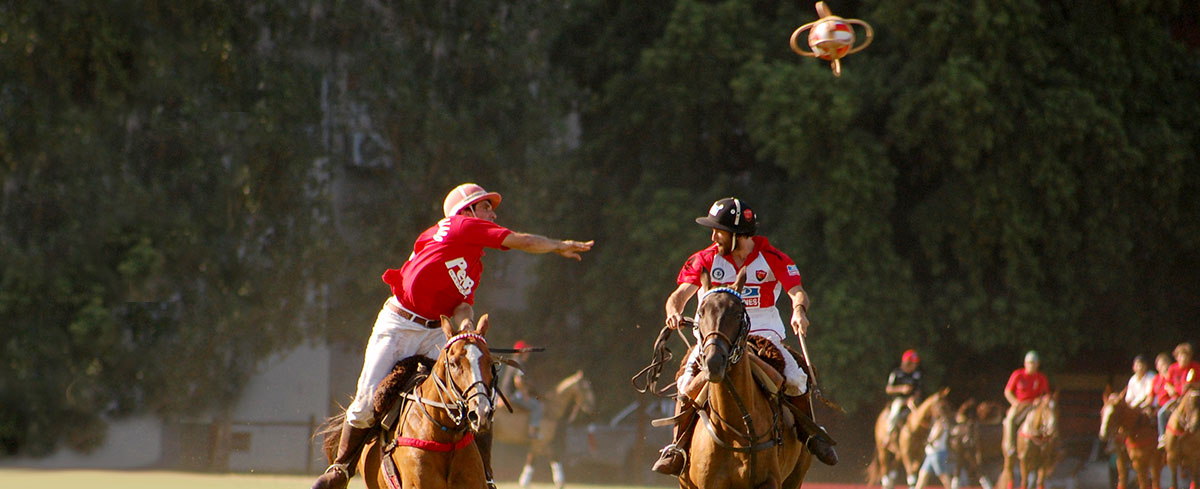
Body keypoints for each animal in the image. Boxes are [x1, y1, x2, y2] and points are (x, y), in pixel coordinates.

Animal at [681, 269, 811, 488]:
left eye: (737, 314)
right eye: (701, 313)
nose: (713, 361)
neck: (736, 429)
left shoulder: (770, 481)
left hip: (796, 476)